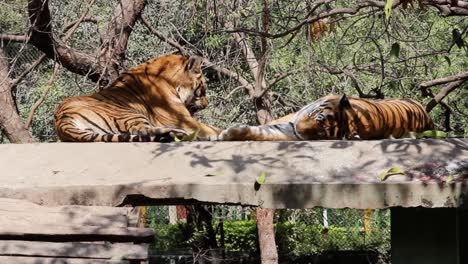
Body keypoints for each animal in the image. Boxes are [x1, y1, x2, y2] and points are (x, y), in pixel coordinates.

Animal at [55, 53, 220, 142]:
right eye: (202, 90)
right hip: (128, 114)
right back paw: (177, 133)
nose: (206, 104)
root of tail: (61, 120)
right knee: (143, 131)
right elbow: (210, 128)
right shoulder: (180, 119)